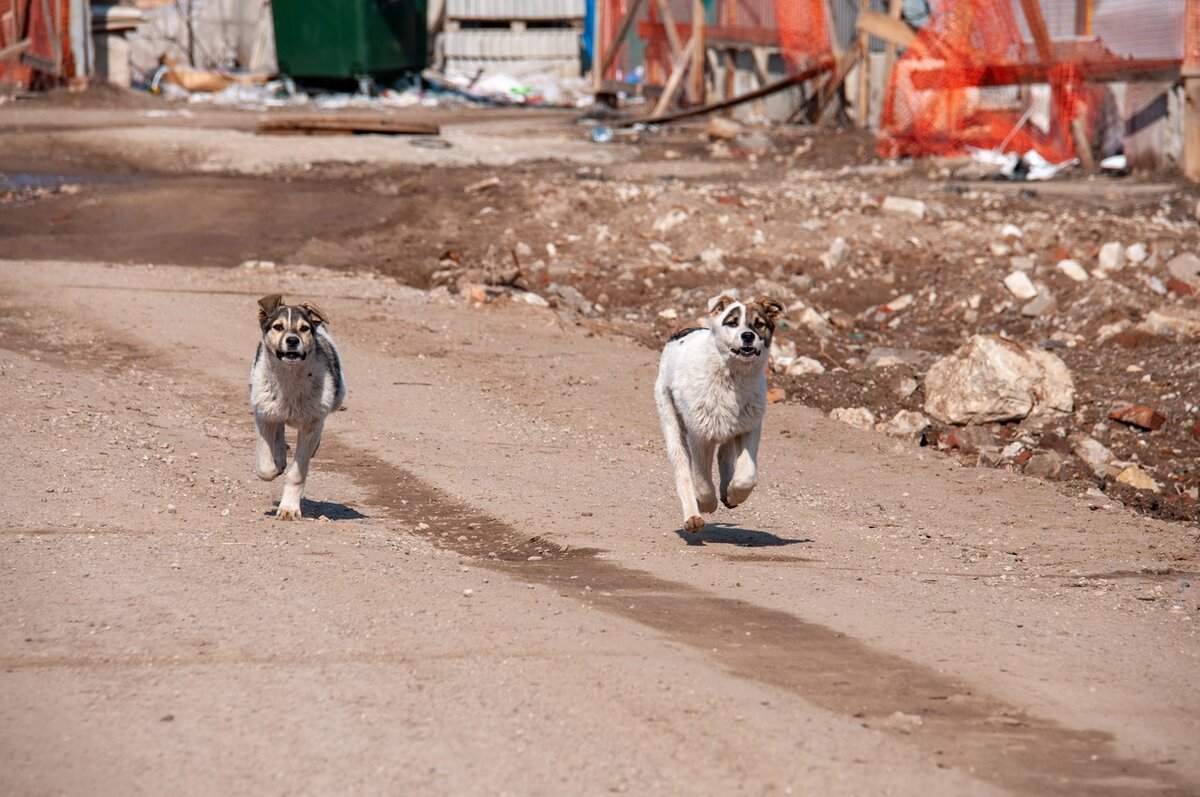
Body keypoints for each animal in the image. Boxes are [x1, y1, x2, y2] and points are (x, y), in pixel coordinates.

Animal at [250, 295, 345, 520]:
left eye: (304, 328)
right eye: (278, 326)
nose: (292, 340)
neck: (290, 379)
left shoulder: (311, 422)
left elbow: (297, 473)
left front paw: (289, 508)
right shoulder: (262, 413)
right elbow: (265, 466)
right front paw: (276, 464)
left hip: (335, 400)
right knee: (279, 427)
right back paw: (280, 455)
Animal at [657, 291, 787, 528]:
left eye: (759, 324)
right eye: (732, 322)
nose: (747, 336)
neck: (732, 376)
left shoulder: (749, 427)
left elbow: (746, 475)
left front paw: (735, 493)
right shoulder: (700, 435)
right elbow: (701, 481)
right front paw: (706, 503)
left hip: (730, 426)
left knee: (724, 455)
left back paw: (727, 491)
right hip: (670, 418)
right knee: (683, 469)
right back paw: (692, 516)